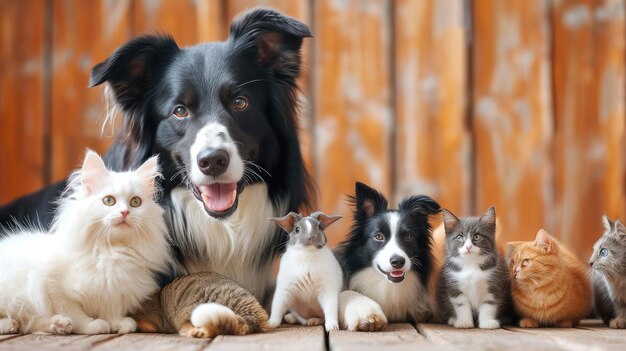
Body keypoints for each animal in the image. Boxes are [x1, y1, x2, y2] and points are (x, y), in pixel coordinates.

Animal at [0, 151, 171, 336]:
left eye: (135, 202)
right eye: (108, 201)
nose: (125, 212)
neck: (112, 250)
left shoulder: (114, 291)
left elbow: (111, 310)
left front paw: (118, 323)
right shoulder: (52, 286)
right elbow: (74, 313)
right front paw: (94, 325)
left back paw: (58, 325)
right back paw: (11, 324)